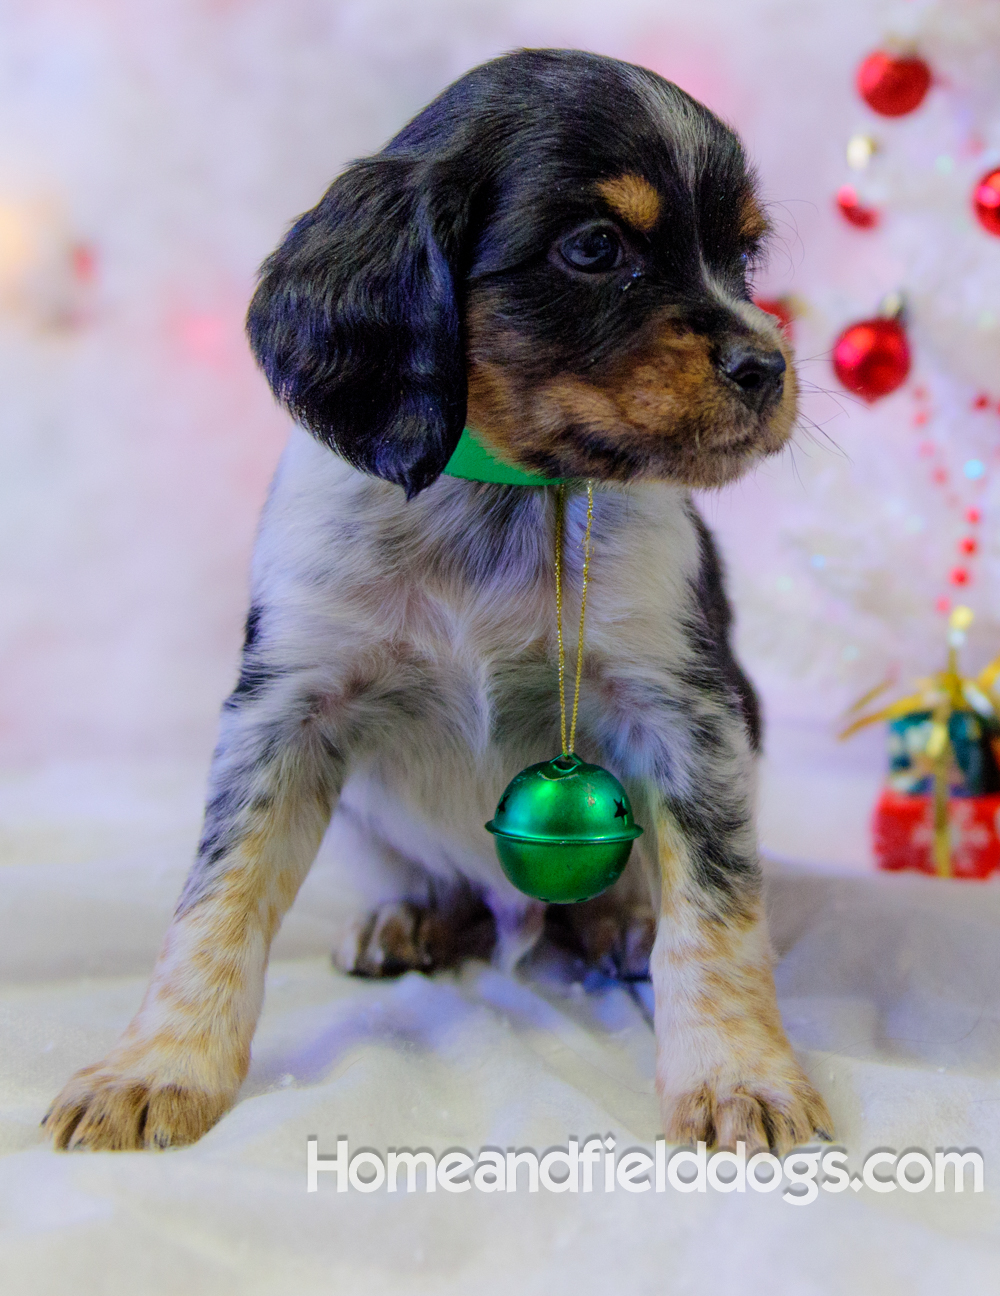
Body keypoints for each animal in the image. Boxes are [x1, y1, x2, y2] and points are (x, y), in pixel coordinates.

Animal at [45, 50, 829, 1156]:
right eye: (594, 247)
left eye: (745, 257)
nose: (769, 366)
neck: (504, 495)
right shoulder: (280, 713)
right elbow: (216, 900)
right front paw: (156, 1067)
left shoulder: (690, 714)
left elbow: (716, 910)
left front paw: (736, 1074)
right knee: (424, 876)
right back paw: (410, 913)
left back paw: (619, 918)